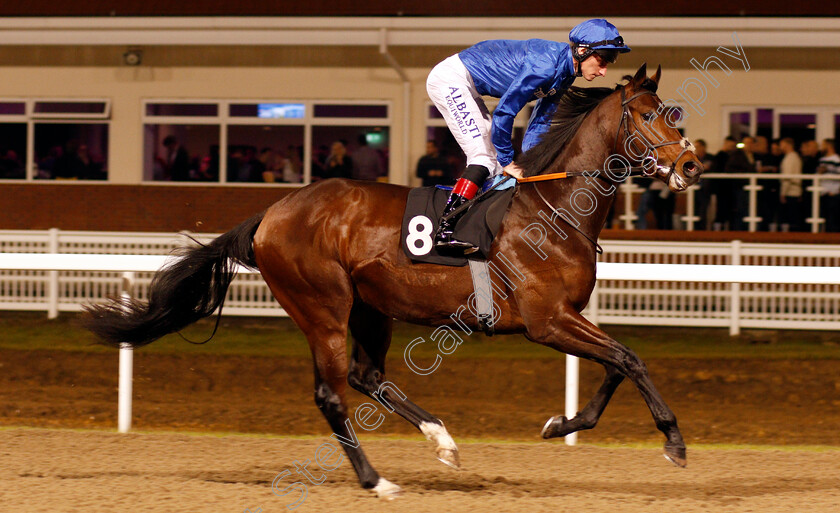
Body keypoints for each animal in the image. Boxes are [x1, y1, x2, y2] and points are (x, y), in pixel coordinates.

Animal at [85, 63, 704, 496]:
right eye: (648, 116)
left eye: (673, 113)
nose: (692, 164)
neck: (552, 209)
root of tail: (272, 214)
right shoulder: (546, 320)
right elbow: (628, 359)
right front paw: (673, 442)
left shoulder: (565, 317)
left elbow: (617, 364)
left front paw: (561, 424)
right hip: (322, 307)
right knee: (332, 393)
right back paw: (374, 479)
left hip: (369, 308)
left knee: (367, 376)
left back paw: (443, 441)